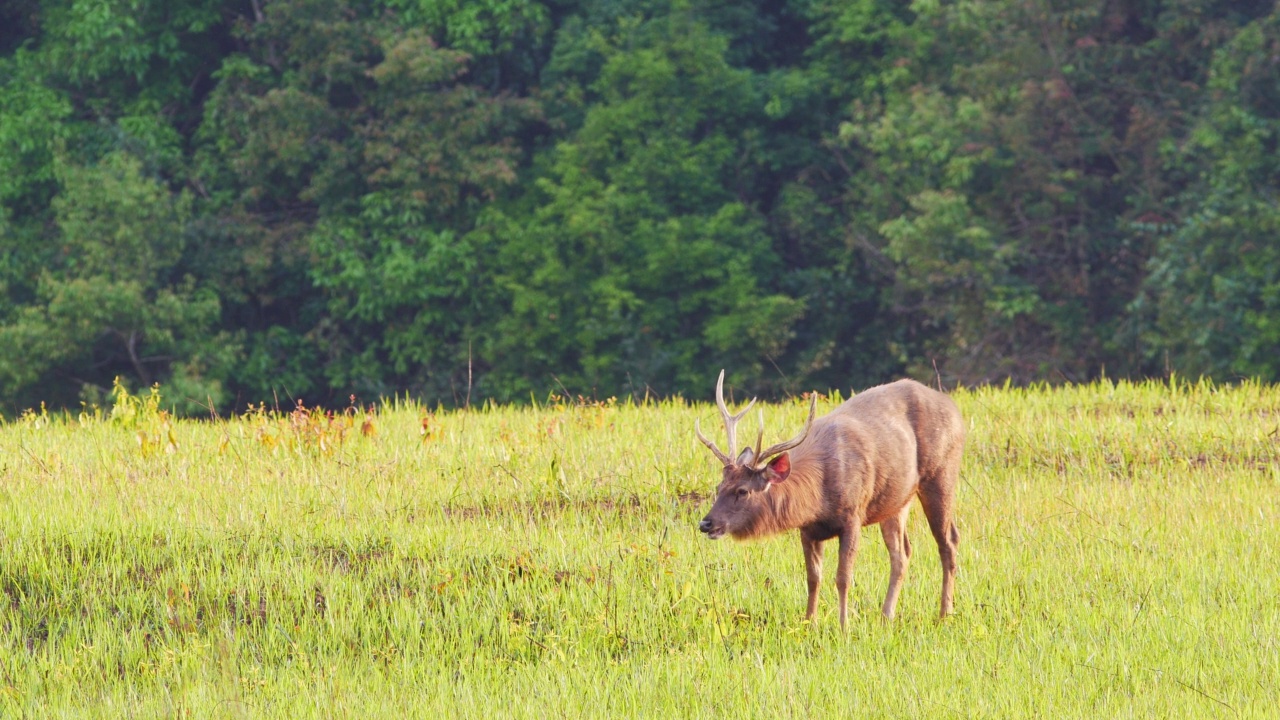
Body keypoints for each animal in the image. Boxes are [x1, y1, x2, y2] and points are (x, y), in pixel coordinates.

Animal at [701, 368, 962, 627]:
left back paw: (944, 613)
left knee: (948, 541)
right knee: (902, 552)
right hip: (897, 499)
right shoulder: (807, 530)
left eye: (742, 491)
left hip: (942, 473)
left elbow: (843, 577)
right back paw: (886, 615)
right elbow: (813, 577)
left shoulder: (853, 515)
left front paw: (843, 625)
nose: (706, 523)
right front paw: (809, 622)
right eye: (719, 486)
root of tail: (954, 408)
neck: (819, 499)